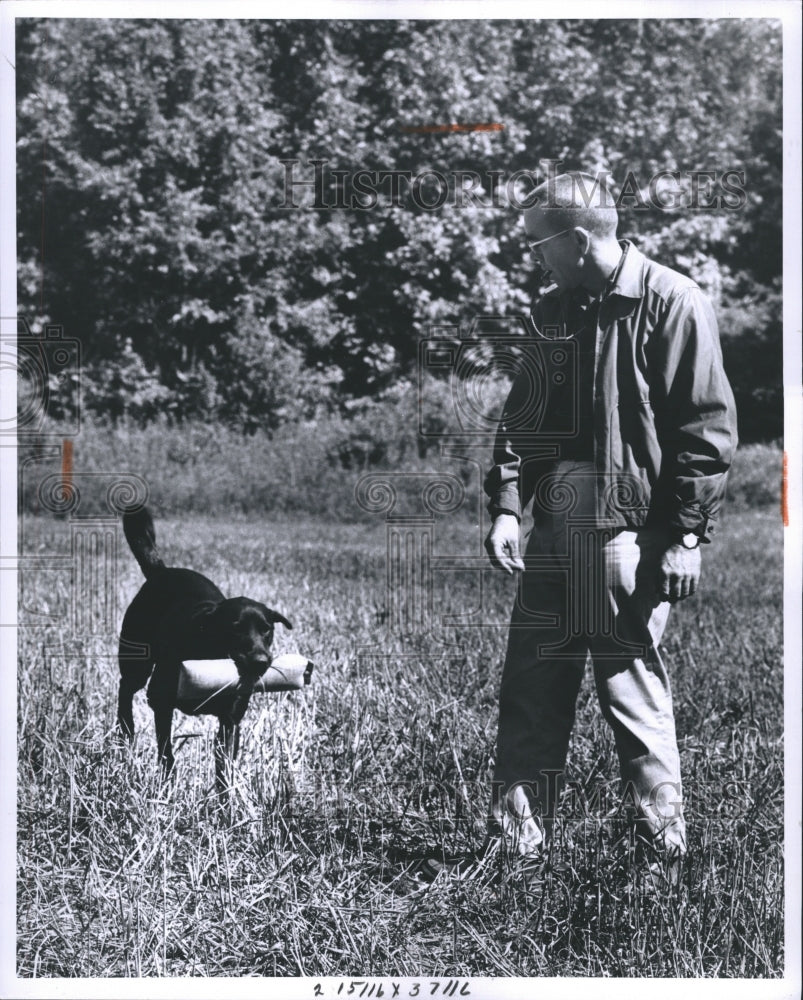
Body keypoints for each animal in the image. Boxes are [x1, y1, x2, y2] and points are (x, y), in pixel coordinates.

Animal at [118, 508, 294, 788]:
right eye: (235, 628)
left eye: (266, 629)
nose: (260, 661)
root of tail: (161, 572)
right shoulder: (161, 702)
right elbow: (166, 753)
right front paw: (167, 786)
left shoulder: (230, 720)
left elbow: (225, 767)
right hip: (136, 661)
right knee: (125, 689)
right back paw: (125, 731)